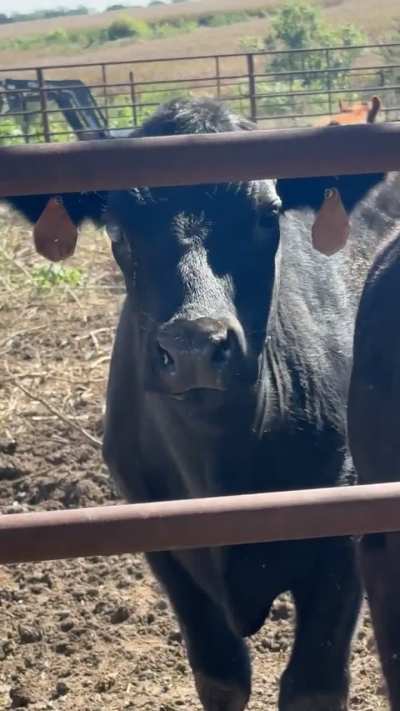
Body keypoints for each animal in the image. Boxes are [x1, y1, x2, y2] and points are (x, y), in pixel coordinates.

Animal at [3, 98, 394, 710]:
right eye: (117, 227)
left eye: (268, 216)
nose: (192, 345)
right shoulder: (162, 537)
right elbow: (221, 676)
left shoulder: (348, 528)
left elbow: (312, 684)